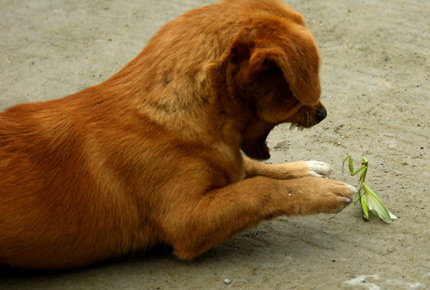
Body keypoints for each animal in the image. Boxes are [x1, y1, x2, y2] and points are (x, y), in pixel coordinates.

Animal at [0, 0, 356, 270]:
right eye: (293, 89)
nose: (323, 114)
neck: (172, 115)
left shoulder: (226, 167)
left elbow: (252, 170)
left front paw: (305, 170)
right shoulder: (187, 220)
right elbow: (259, 189)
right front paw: (322, 192)